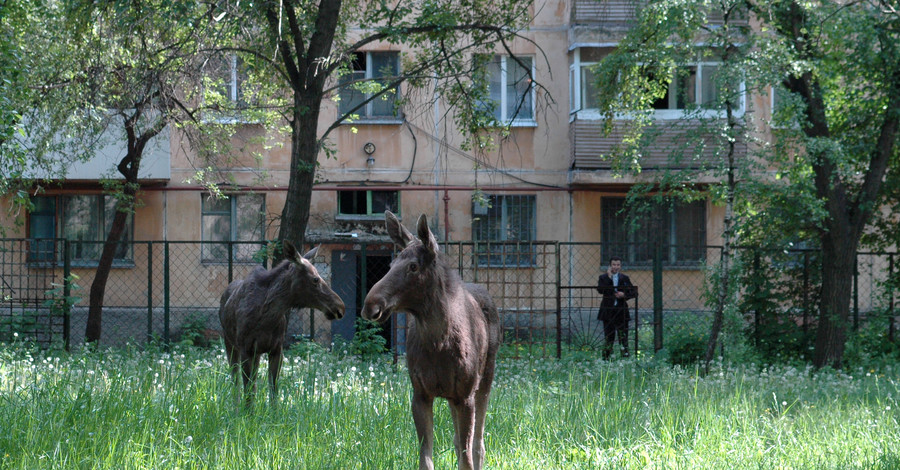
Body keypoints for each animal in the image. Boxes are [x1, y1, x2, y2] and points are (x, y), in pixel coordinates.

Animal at [218, 241, 344, 406]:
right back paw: (236, 407)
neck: (266, 318)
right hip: (230, 343)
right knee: (235, 381)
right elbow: (248, 392)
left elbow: (273, 392)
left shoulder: (276, 349)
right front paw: (247, 412)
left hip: (256, 353)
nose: (340, 307)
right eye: (315, 279)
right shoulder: (246, 349)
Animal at [360, 212, 500, 470]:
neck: (438, 343)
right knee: (457, 440)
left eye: (413, 266)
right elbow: (426, 457)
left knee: (478, 444)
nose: (370, 305)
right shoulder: (421, 394)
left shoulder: (465, 395)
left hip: (485, 379)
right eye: (390, 265)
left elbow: (466, 457)